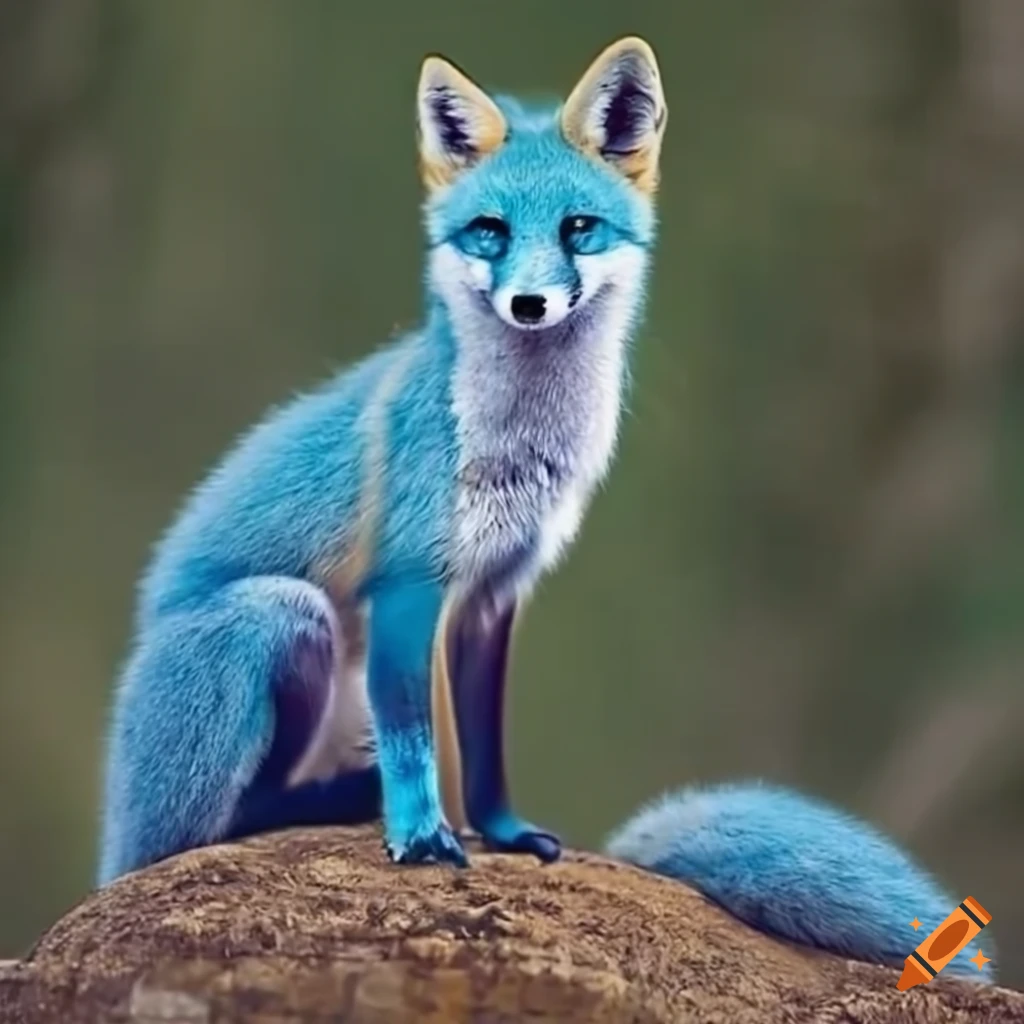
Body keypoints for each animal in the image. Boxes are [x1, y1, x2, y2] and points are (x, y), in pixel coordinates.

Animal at [97, 37, 995, 985]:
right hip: (279, 617)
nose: (529, 304)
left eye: (578, 228)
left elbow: (486, 747)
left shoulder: (496, 589)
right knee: (197, 834)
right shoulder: (409, 586)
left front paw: (503, 834)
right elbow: (419, 739)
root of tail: (109, 844)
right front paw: (422, 839)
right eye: (490, 231)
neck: (520, 452)